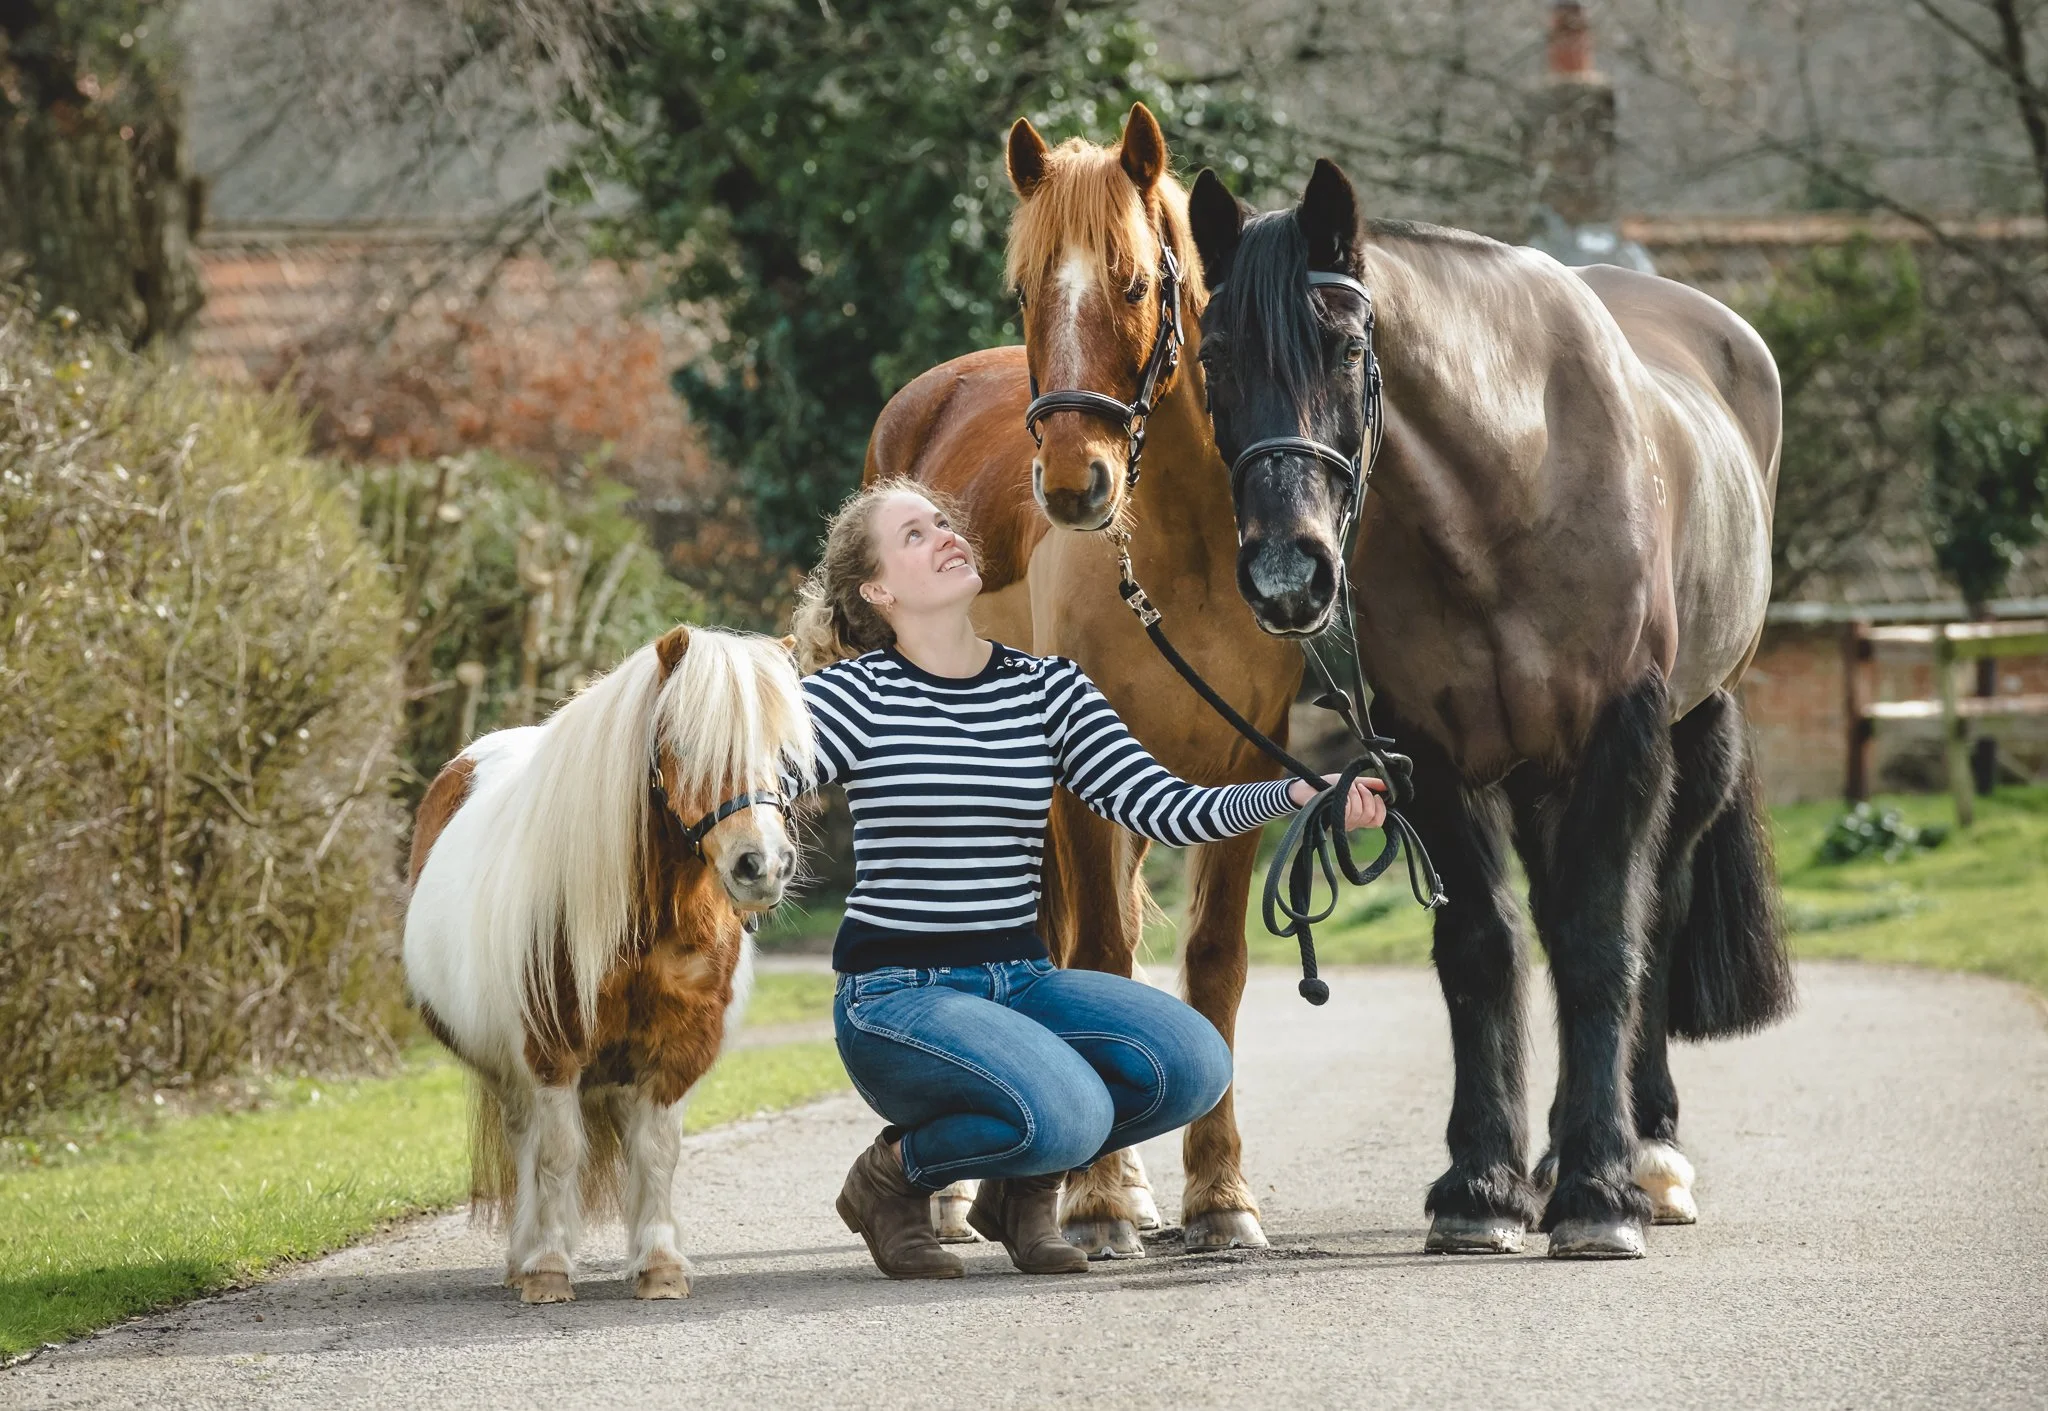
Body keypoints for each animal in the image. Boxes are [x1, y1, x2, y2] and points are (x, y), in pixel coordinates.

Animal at [403, 625, 812, 1301]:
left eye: (783, 754)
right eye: (682, 744)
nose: (762, 866)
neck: (649, 920)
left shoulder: (673, 1054)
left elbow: (658, 1153)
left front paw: (660, 1265)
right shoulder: (550, 1053)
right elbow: (557, 1154)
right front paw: (547, 1268)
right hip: (512, 1075)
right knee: (527, 1144)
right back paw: (525, 1256)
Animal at [1182, 157, 1795, 1256]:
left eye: (1346, 348)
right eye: (1214, 357)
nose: (1289, 573)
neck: (1507, 495)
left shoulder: (1618, 740)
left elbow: (1601, 944)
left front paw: (1600, 1193)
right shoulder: (1429, 753)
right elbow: (1482, 949)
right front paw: (1482, 1184)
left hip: (1693, 737)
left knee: (1654, 912)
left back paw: (1649, 1152)